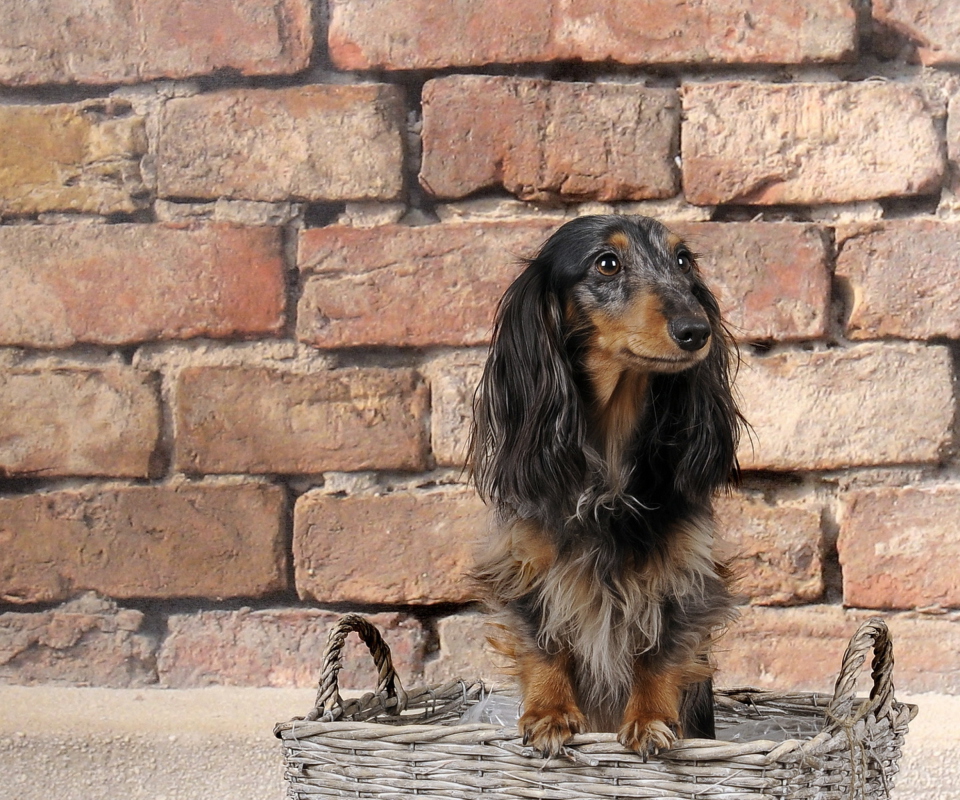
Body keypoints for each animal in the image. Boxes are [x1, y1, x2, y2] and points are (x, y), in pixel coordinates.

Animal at [468, 216, 748, 760]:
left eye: (683, 260)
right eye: (607, 263)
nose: (696, 331)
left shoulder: (686, 575)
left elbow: (658, 652)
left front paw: (650, 720)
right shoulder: (524, 565)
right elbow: (545, 642)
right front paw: (550, 713)